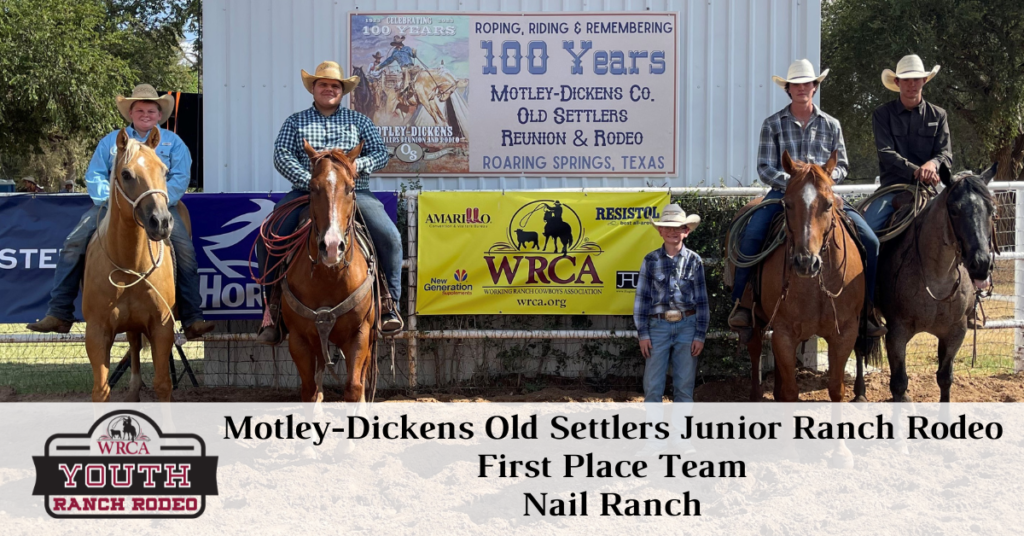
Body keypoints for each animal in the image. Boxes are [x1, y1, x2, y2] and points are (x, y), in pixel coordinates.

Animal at [82, 128, 185, 399]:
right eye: (126, 174)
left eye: (164, 170)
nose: (161, 221)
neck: (129, 265)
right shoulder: (96, 332)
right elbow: (101, 390)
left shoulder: (162, 328)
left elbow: (163, 384)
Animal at [733, 150, 868, 401]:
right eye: (787, 204)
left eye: (828, 204)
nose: (806, 262)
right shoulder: (784, 333)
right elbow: (790, 392)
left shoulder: (844, 333)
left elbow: (836, 388)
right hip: (754, 318)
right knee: (755, 349)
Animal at [856, 163, 999, 401]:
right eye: (954, 210)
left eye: (992, 210)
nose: (981, 264)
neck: (937, 280)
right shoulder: (896, 333)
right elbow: (898, 383)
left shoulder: (955, 333)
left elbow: (945, 378)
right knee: (858, 346)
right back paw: (859, 393)